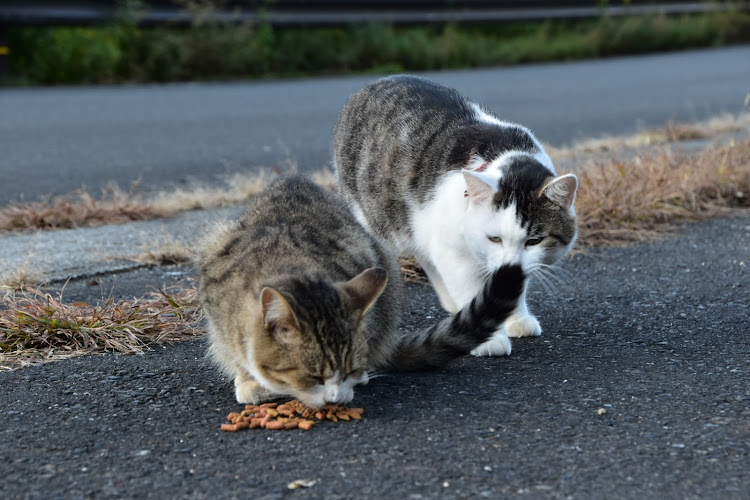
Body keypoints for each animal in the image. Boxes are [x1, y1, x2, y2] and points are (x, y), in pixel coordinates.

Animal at [200, 176, 528, 410]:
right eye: (313, 377)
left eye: (349, 369)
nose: (335, 400)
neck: (290, 264)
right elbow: (234, 349)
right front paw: (248, 379)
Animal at [332, 74, 580, 358]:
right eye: (494, 238)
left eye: (533, 241)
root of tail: (371, 84)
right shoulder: (452, 252)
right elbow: (468, 284)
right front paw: (487, 337)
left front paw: (515, 318)